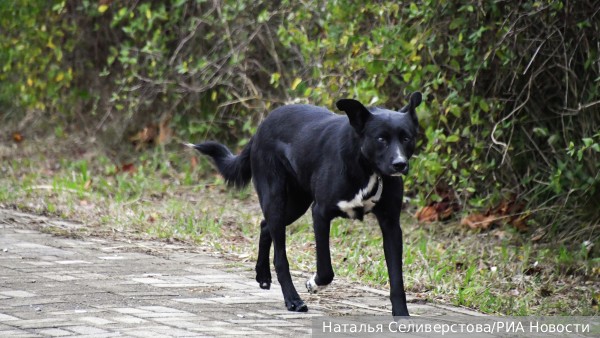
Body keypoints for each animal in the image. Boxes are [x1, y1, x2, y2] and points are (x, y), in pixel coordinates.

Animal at [188, 92, 422, 316]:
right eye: (381, 138)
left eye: (406, 138)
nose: (400, 164)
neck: (366, 166)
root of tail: (262, 127)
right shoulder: (320, 213)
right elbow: (326, 270)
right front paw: (313, 284)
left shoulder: (391, 225)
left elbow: (396, 278)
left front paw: (402, 314)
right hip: (276, 198)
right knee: (280, 257)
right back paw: (293, 300)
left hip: (296, 204)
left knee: (265, 226)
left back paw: (263, 275)